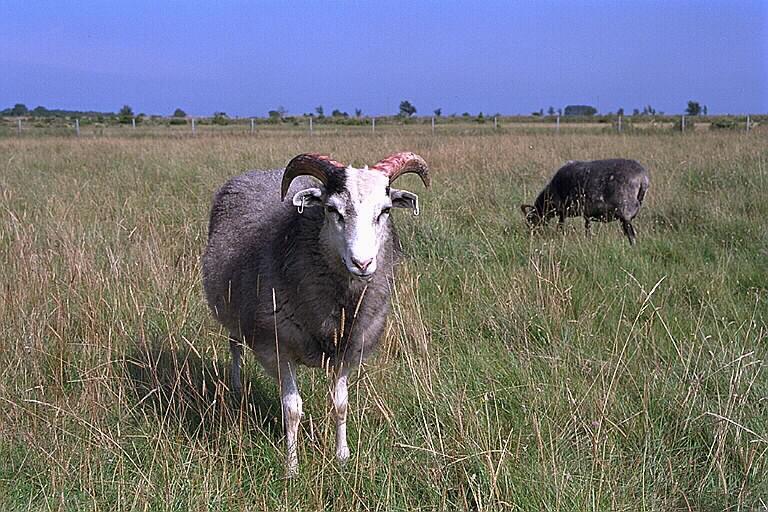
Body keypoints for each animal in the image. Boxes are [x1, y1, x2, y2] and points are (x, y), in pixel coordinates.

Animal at [201, 151, 428, 476]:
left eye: (384, 211)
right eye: (332, 210)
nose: (362, 263)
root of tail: (262, 171)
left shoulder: (347, 351)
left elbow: (341, 404)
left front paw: (342, 455)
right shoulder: (278, 348)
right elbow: (292, 409)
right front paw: (292, 467)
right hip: (233, 312)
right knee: (234, 346)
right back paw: (236, 387)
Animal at [520, 158, 648, 244]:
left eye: (531, 220)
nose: (532, 234)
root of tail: (643, 178)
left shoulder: (563, 211)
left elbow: (560, 226)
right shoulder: (586, 214)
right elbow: (587, 228)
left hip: (626, 211)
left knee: (631, 235)